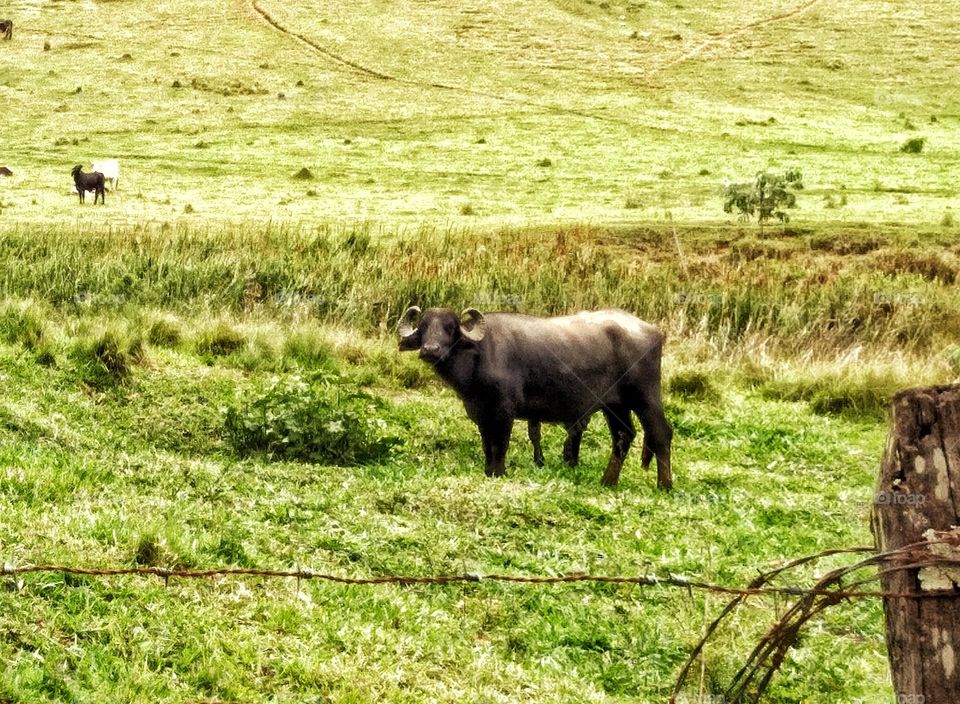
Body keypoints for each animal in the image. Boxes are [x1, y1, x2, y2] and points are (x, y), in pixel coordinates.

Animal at [398, 307, 673, 489]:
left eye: (450, 327)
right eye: (423, 327)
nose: (430, 350)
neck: (480, 356)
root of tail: (652, 331)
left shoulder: (504, 411)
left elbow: (500, 445)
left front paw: (499, 472)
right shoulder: (481, 413)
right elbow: (487, 445)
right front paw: (489, 471)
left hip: (646, 397)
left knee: (661, 433)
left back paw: (664, 484)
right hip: (614, 405)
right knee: (623, 436)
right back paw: (607, 481)